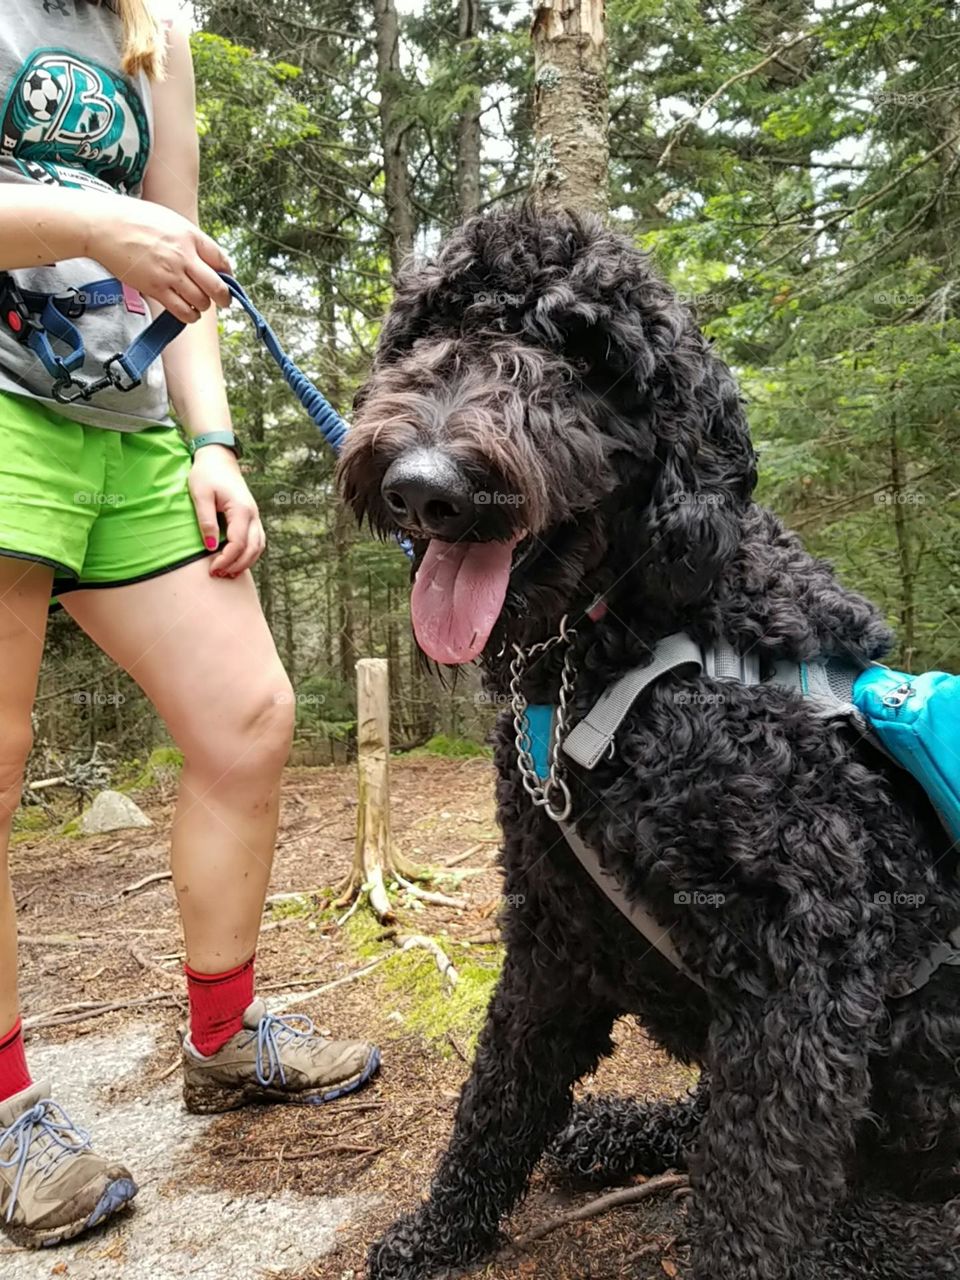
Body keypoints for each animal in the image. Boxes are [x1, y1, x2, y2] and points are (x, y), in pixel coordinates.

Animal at [335, 209, 960, 1280]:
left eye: (585, 359)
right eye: (430, 333)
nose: (425, 488)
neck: (623, 652)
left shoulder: (803, 979)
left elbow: (749, 1206)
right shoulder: (554, 929)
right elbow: (498, 1098)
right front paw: (437, 1232)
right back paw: (617, 1131)